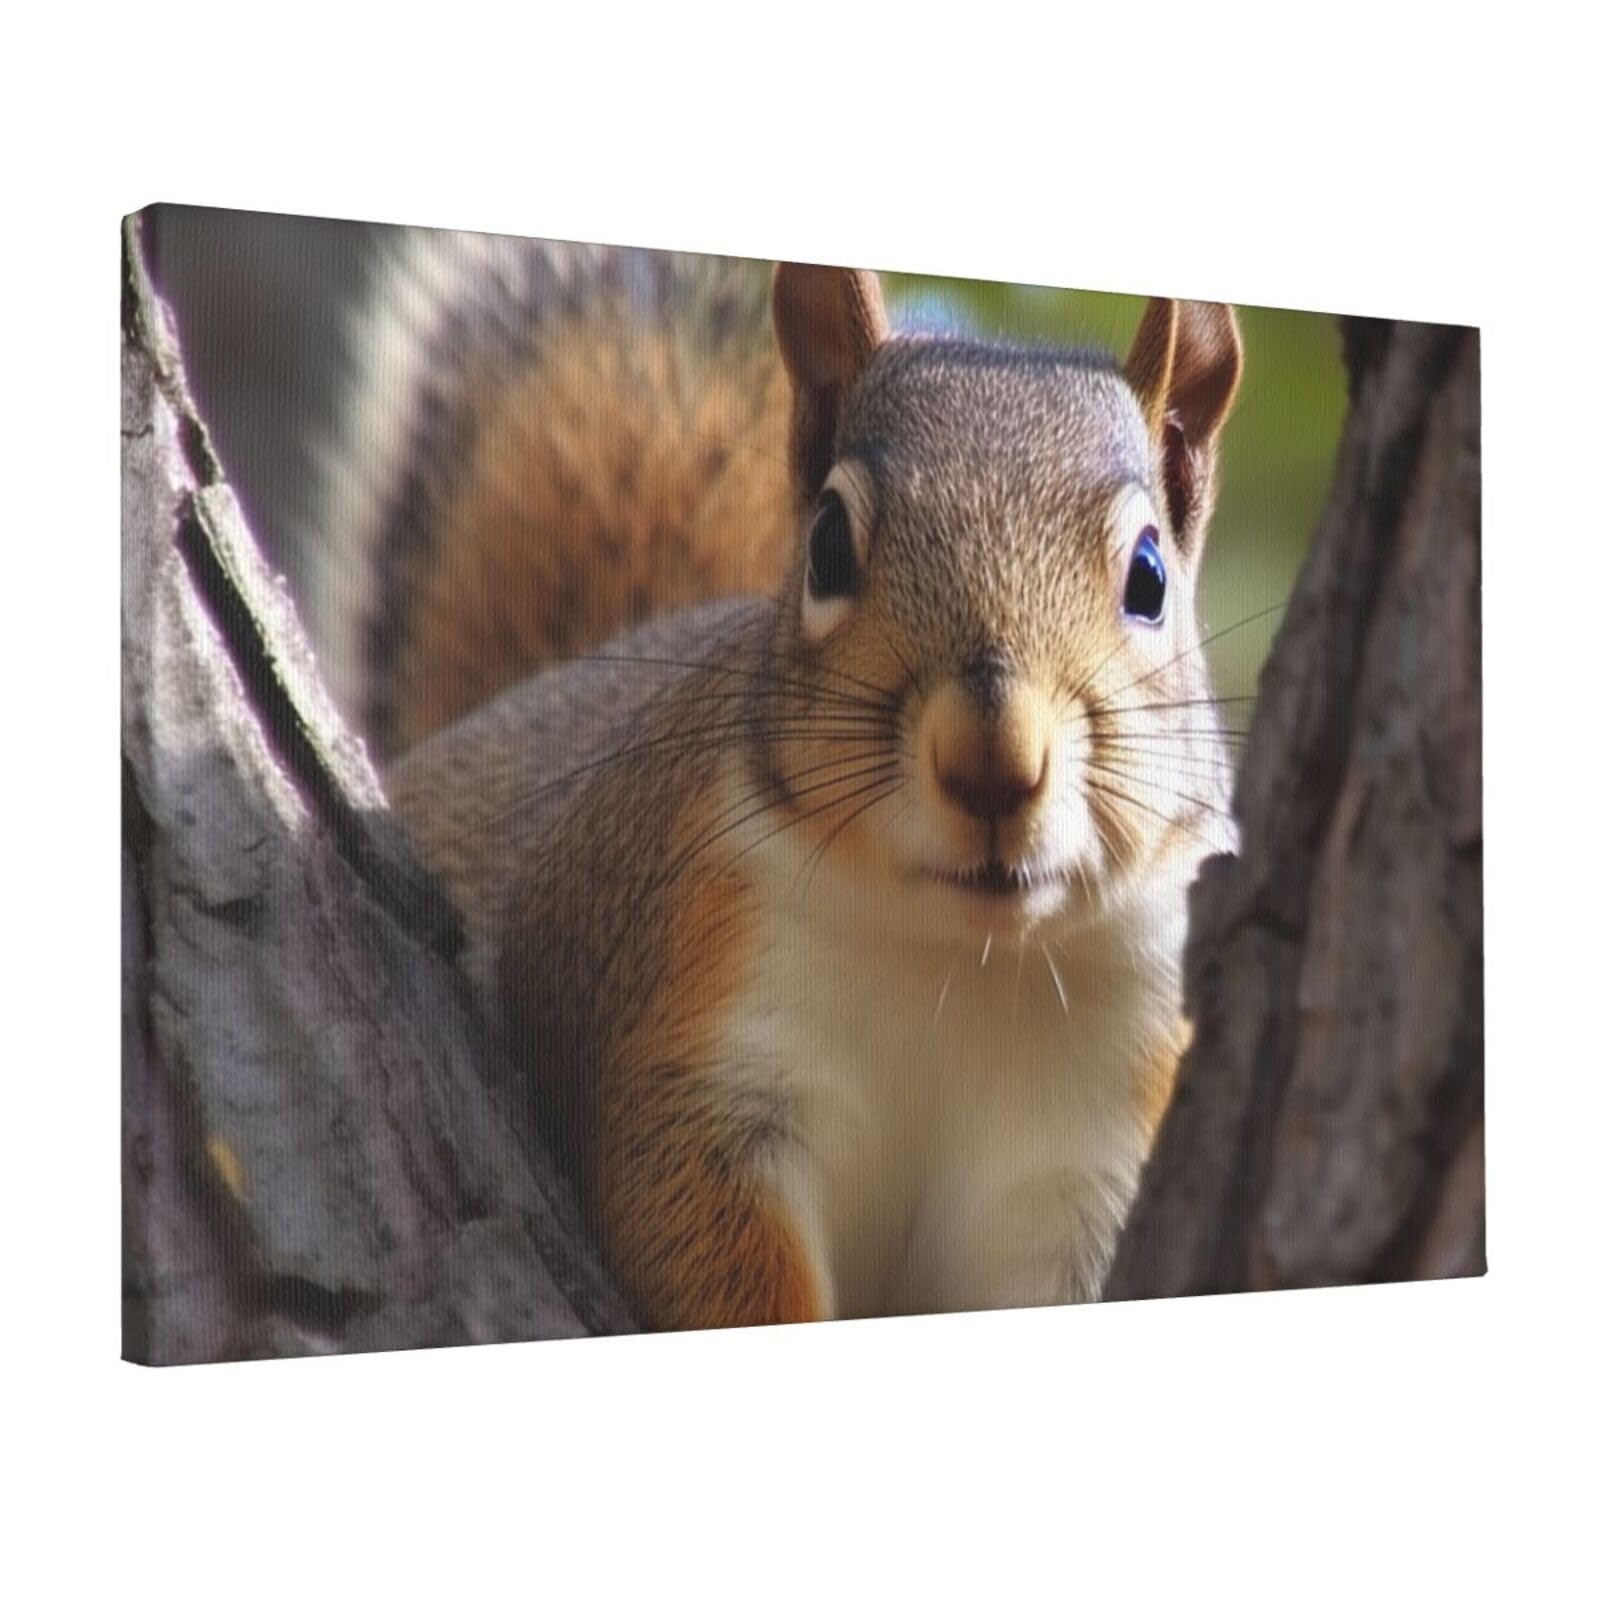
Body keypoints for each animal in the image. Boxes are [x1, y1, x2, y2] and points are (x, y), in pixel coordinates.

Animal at [306, 229, 1243, 1329]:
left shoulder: (1095, 1149)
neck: (961, 959)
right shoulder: (691, 1041)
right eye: (828, 543)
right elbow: (697, 1232)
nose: (993, 759)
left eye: (1149, 576)